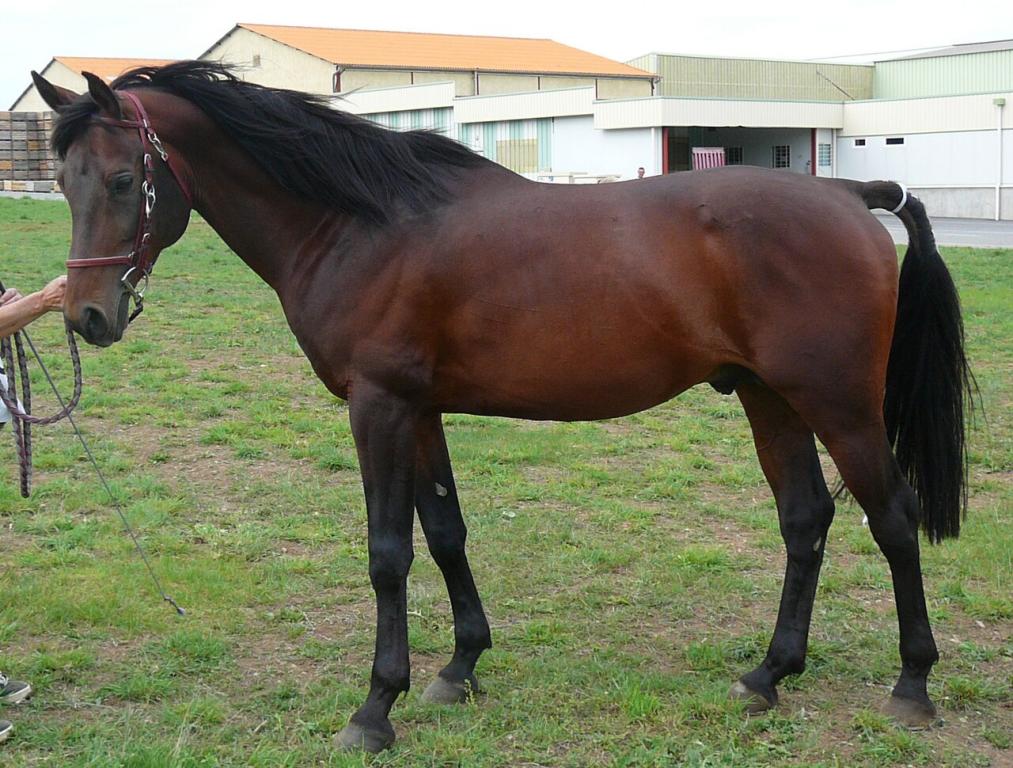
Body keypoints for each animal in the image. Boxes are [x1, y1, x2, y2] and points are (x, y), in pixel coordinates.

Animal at [32, 61, 974, 753]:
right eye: (66, 181)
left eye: (123, 177)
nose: (88, 317)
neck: (359, 223)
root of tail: (848, 195)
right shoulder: (419, 411)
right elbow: (445, 532)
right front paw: (459, 668)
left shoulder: (378, 408)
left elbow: (387, 555)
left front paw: (375, 708)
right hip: (767, 397)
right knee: (805, 518)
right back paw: (768, 675)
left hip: (836, 404)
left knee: (893, 519)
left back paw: (910, 685)